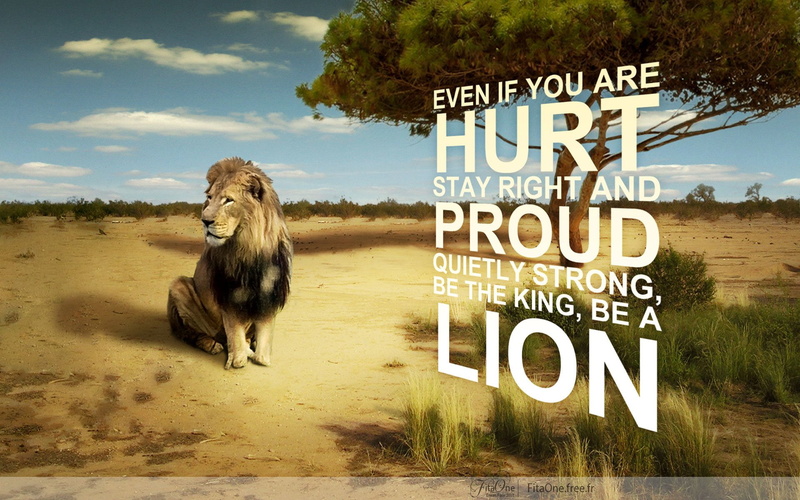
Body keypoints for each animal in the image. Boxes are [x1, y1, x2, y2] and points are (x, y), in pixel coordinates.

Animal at [167, 157, 292, 369]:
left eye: (228, 200)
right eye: (209, 198)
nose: (204, 221)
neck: (251, 248)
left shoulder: (269, 293)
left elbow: (264, 346)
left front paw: (261, 355)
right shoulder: (229, 295)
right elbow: (235, 336)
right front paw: (238, 358)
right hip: (179, 285)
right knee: (190, 333)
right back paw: (212, 344)